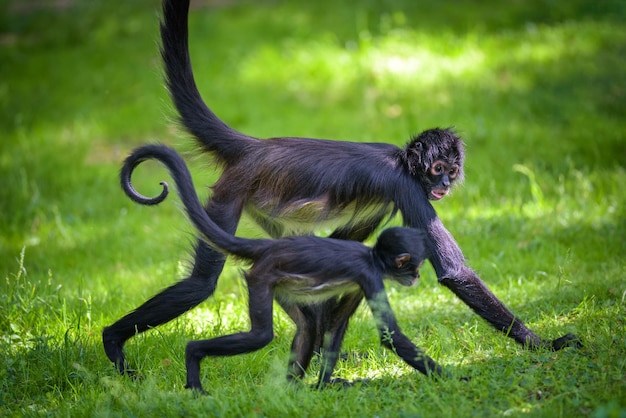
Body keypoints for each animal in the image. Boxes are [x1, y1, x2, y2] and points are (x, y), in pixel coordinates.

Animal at [123, 144, 438, 392]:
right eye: (414, 266)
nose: (417, 277)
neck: (372, 256)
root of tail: (268, 248)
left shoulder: (362, 284)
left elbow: (335, 328)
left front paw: (323, 385)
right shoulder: (370, 277)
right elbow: (390, 335)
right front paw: (448, 378)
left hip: (279, 282)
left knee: (307, 327)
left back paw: (293, 387)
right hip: (261, 277)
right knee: (261, 335)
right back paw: (194, 355)